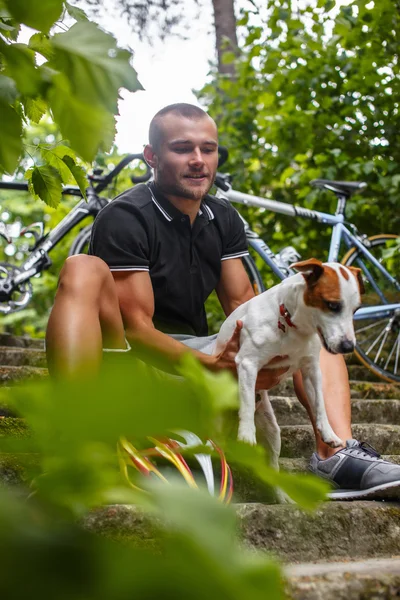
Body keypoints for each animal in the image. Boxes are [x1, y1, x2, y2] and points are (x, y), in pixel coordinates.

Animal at [214, 258, 364, 478]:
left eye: (355, 310)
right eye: (332, 305)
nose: (348, 347)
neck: (293, 325)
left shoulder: (311, 370)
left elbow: (320, 403)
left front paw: (328, 432)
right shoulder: (248, 363)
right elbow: (247, 403)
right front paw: (247, 434)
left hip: (272, 432)